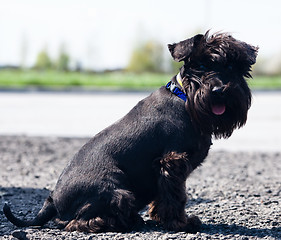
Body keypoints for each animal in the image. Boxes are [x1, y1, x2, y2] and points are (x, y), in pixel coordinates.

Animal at [4, 31, 258, 232]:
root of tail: (52, 201)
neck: (185, 99)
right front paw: (181, 224)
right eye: (202, 66)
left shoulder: (167, 168)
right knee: (76, 222)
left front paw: (162, 218)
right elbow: (176, 197)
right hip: (118, 190)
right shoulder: (172, 162)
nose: (219, 90)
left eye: (232, 67)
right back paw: (118, 222)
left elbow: (164, 197)